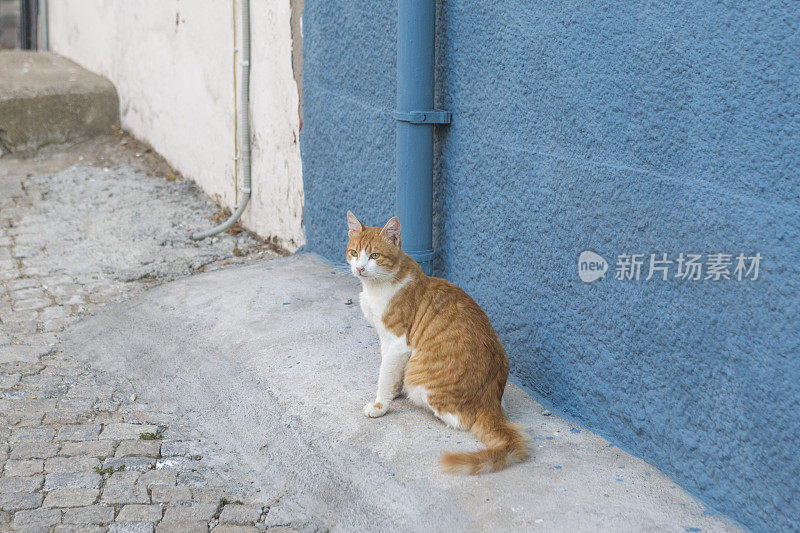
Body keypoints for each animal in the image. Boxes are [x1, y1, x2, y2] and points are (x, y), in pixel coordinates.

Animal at [346, 210, 528, 472]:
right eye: (354, 253)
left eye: (374, 256)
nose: (360, 268)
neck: (377, 286)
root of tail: (490, 402)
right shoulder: (389, 343)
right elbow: (392, 376)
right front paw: (394, 392)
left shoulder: (397, 343)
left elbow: (385, 376)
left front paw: (381, 405)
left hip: (420, 382)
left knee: (460, 419)